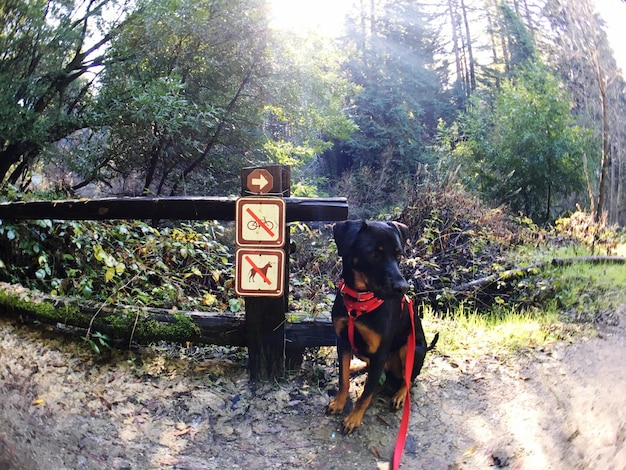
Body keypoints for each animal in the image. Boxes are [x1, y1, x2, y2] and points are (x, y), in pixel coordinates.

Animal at [324, 220, 436, 434]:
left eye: (398, 254)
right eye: (374, 254)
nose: (403, 288)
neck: (359, 304)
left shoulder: (380, 352)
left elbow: (366, 394)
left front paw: (354, 419)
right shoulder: (342, 341)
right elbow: (343, 379)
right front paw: (339, 402)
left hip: (411, 348)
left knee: (409, 378)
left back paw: (400, 395)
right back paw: (356, 367)